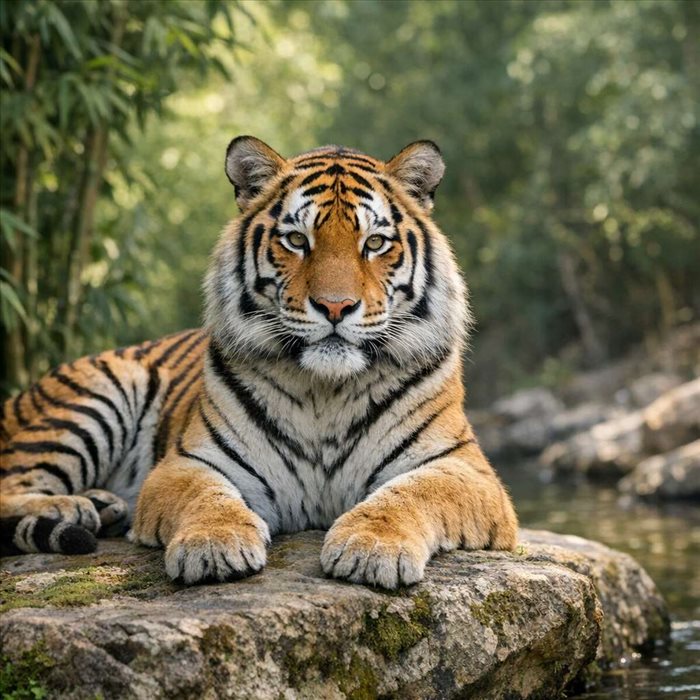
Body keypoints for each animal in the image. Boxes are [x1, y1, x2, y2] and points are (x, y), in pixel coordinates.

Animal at [0, 136, 518, 588]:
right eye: (296, 240)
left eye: (374, 243)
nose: (335, 307)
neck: (326, 391)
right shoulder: (189, 462)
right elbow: (207, 496)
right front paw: (214, 545)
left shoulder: (462, 468)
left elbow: (411, 494)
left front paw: (373, 547)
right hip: (95, 397)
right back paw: (72, 508)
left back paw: (102, 505)